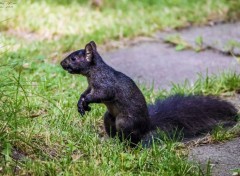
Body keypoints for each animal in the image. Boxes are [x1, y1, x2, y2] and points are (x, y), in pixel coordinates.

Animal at [60, 41, 238, 146]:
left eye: (74, 58)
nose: (62, 63)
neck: (93, 72)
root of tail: (147, 125)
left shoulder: (105, 84)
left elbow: (102, 94)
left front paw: (86, 101)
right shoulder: (91, 86)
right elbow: (86, 92)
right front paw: (81, 103)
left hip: (125, 122)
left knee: (133, 140)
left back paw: (123, 146)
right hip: (109, 118)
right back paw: (110, 141)